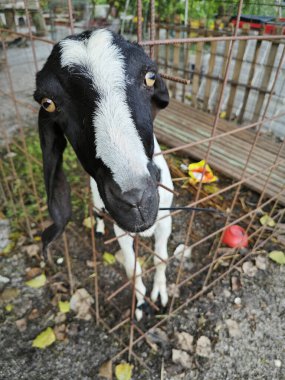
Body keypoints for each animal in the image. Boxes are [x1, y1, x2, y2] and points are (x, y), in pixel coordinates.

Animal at [35, 30, 173, 320]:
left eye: (150, 76)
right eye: (48, 103)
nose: (136, 200)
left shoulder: (165, 219)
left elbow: (161, 258)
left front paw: (160, 293)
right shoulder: (122, 230)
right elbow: (133, 268)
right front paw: (141, 304)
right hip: (99, 201)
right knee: (97, 212)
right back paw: (98, 230)